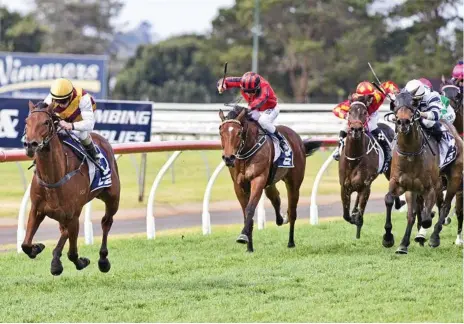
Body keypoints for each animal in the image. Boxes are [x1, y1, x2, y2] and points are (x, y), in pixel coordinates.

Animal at [22, 100, 119, 274]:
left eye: (46, 122)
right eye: (27, 122)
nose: (30, 145)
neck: (54, 176)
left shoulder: (73, 215)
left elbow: (72, 253)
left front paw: (77, 262)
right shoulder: (37, 210)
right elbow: (25, 245)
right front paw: (37, 247)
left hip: (113, 198)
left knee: (106, 222)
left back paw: (103, 260)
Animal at [218, 105, 320, 252]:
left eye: (238, 133)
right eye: (221, 132)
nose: (228, 158)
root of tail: (299, 140)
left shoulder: (258, 179)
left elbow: (250, 208)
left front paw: (243, 236)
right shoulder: (239, 185)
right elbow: (246, 213)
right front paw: (249, 247)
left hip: (293, 182)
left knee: (292, 211)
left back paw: (291, 241)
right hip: (270, 183)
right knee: (275, 198)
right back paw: (281, 219)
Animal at [338, 95, 404, 239]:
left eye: (364, 112)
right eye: (350, 112)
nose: (356, 129)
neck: (355, 158)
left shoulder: (365, 187)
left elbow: (359, 215)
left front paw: (357, 220)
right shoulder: (344, 187)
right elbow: (346, 215)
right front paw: (353, 216)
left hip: (389, 170)